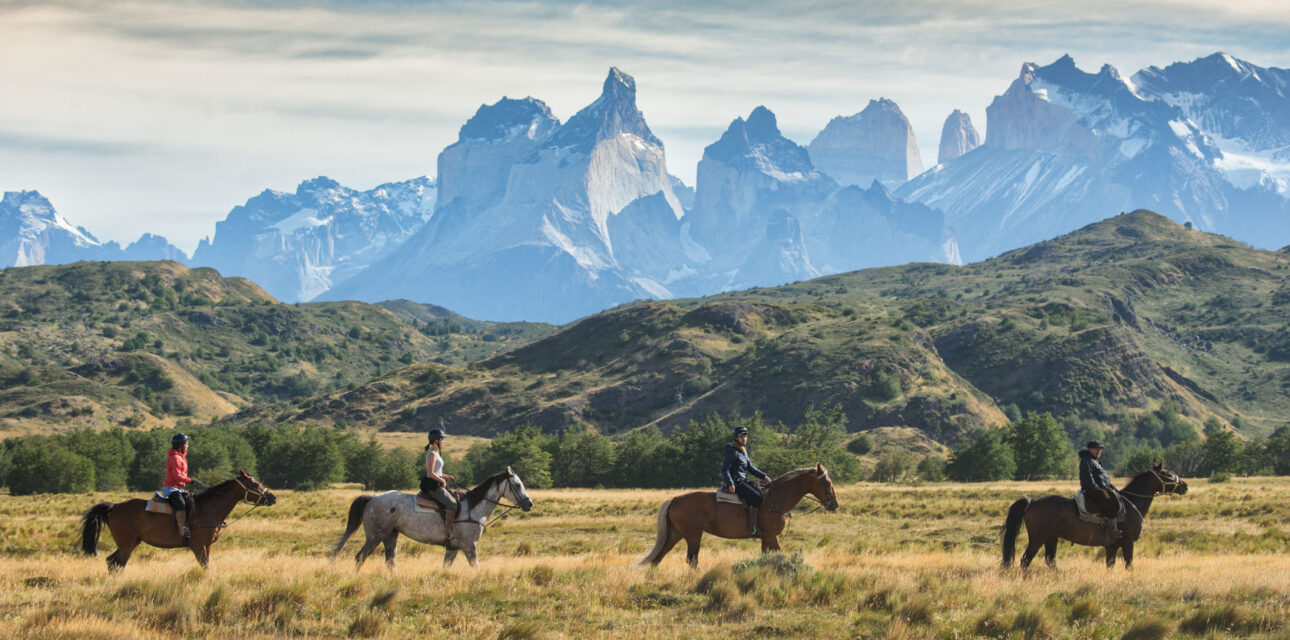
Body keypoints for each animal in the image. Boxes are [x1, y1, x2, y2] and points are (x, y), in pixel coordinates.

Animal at [80, 469, 277, 570]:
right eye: (255, 484)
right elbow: (204, 566)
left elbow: (207, 566)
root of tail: (114, 507)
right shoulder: (197, 546)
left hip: (132, 542)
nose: (272, 497)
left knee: (112, 562)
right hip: (126, 544)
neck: (207, 508)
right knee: (117, 563)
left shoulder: (207, 545)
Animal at [335, 464, 536, 570]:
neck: (472, 509)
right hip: (375, 536)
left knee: (391, 561)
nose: (529, 503)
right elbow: (476, 566)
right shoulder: (469, 545)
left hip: (391, 536)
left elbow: (445, 567)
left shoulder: (453, 548)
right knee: (360, 557)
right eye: (517, 485)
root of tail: (372, 498)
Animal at [639, 461, 841, 567]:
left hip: (675, 534)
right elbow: (779, 555)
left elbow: (766, 558)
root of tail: (674, 499)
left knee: (658, 558)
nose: (834, 504)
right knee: (691, 560)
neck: (777, 498)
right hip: (693, 535)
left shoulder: (766, 538)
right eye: (826, 482)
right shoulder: (771, 536)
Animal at [995, 459, 1186, 570]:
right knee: (1025, 560)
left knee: (1050, 561)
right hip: (1038, 538)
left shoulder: (1112, 547)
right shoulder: (1127, 543)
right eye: (1168, 474)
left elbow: (1110, 566)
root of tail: (1032, 502)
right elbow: (1129, 564)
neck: (1131, 504)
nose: (1185, 485)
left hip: (1051, 538)